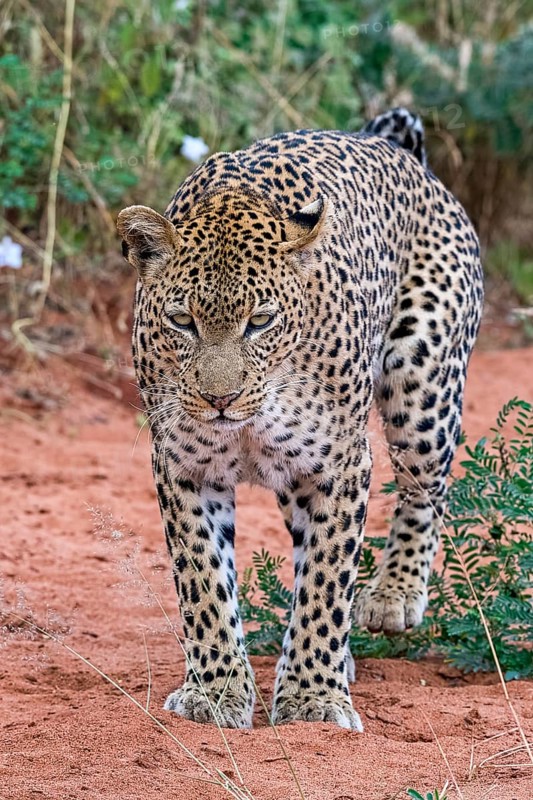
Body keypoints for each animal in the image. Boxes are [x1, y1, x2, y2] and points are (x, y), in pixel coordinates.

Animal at [117, 108, 483, 731]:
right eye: (182, 321)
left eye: (260, 322)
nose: (220, 399)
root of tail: (393, 146)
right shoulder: (184, 467)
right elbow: (204, 583)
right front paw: (215, 691)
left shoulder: (340, 464)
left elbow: (326, 582)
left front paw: (314, 698)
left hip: (423, 387)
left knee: (427, 490)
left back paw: (392, 596)